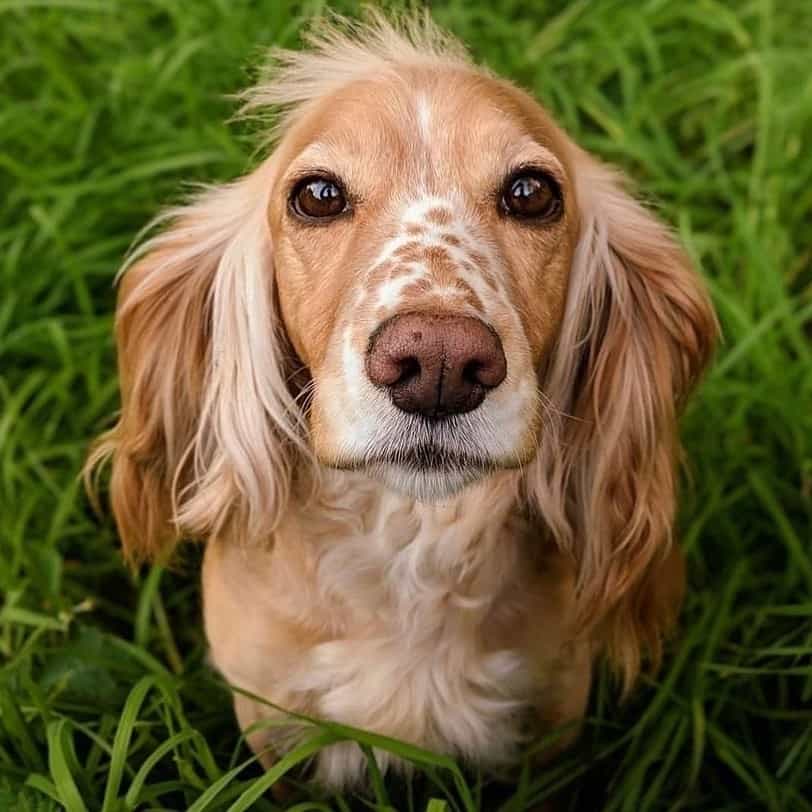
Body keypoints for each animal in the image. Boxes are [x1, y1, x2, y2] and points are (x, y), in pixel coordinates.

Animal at [89, 11, 716, 788]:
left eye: (531, 193)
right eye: (318, 195)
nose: (440, 364)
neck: (411, 547)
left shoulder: (553, 720)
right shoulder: (270, 724)